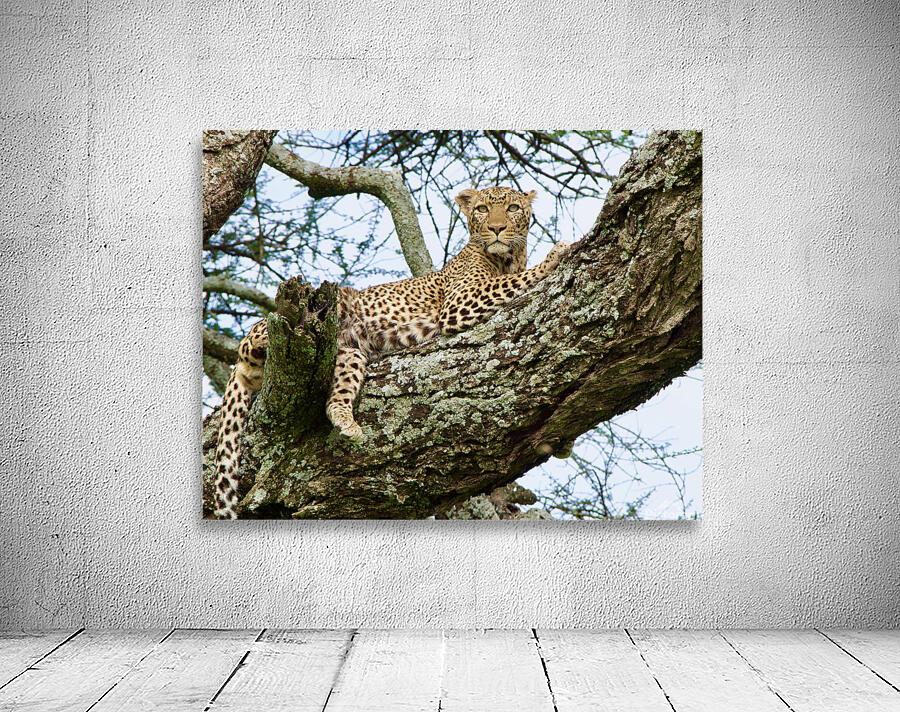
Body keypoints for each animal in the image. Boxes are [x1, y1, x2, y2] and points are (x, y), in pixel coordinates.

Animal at [212, 186, 572, 519]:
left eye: (513, 208)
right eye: (483, 209)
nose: (497, 228)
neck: (509, 258)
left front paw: (563, 442)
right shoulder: (461, 301)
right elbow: (514, 281)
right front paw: (556, 254)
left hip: (350, 354)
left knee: (335, 394)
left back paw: (346, 422)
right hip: (323, 308)